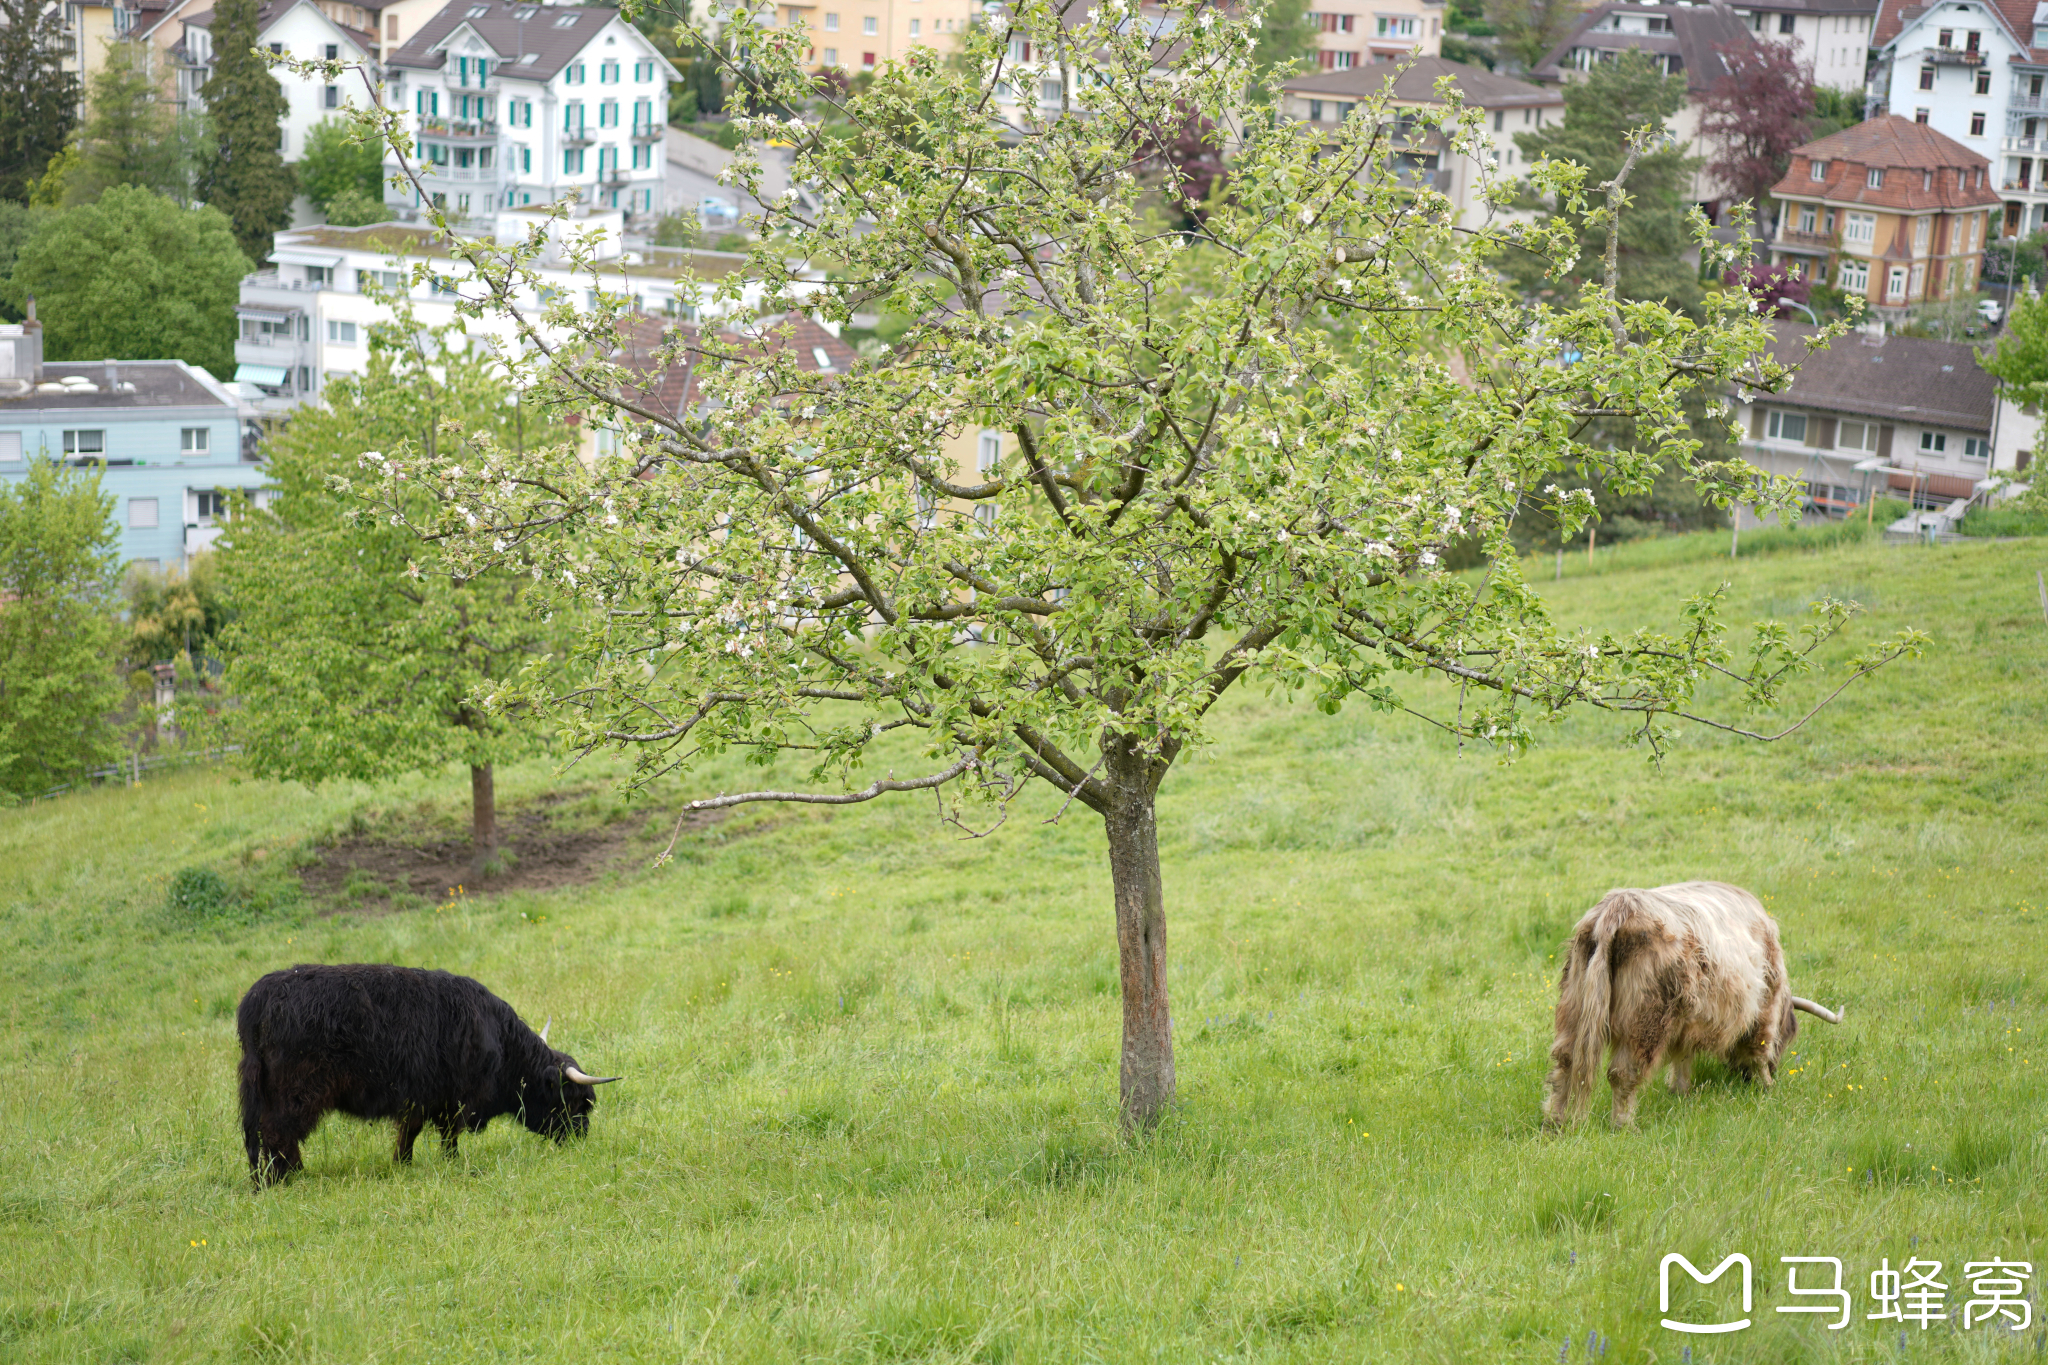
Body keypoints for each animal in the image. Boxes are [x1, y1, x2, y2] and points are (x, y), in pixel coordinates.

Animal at [234, 961, 614, 1186]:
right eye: (575, 1101)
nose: (582, 1137)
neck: (499, 1041)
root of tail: (260, 996)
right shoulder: (449, 1098)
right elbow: (444, 1135)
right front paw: (448, 1162)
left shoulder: (424, 1097)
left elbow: (413, 1133)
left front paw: (403, 1163)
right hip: (297, 1091)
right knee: (279, 1133)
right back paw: (290, 1177)